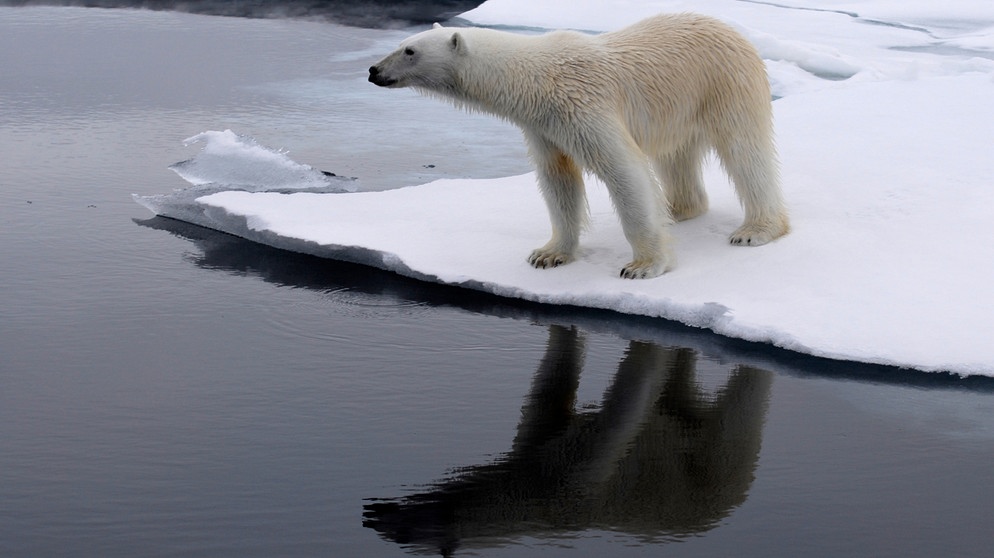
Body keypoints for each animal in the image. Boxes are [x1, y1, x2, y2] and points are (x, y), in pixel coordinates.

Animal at [368, 14, 788, 280]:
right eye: (401, 43)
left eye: (410, 51)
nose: (373, 70)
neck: (536, 80)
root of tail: (732, 31)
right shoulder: (544, 126)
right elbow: (558, 179)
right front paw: (548, 254)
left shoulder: (585, 107)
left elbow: (623, 171)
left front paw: (642, 266)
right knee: (675, 155)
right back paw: (680, 208)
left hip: (724, 83)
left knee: (744, 151)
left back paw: (755, 229)